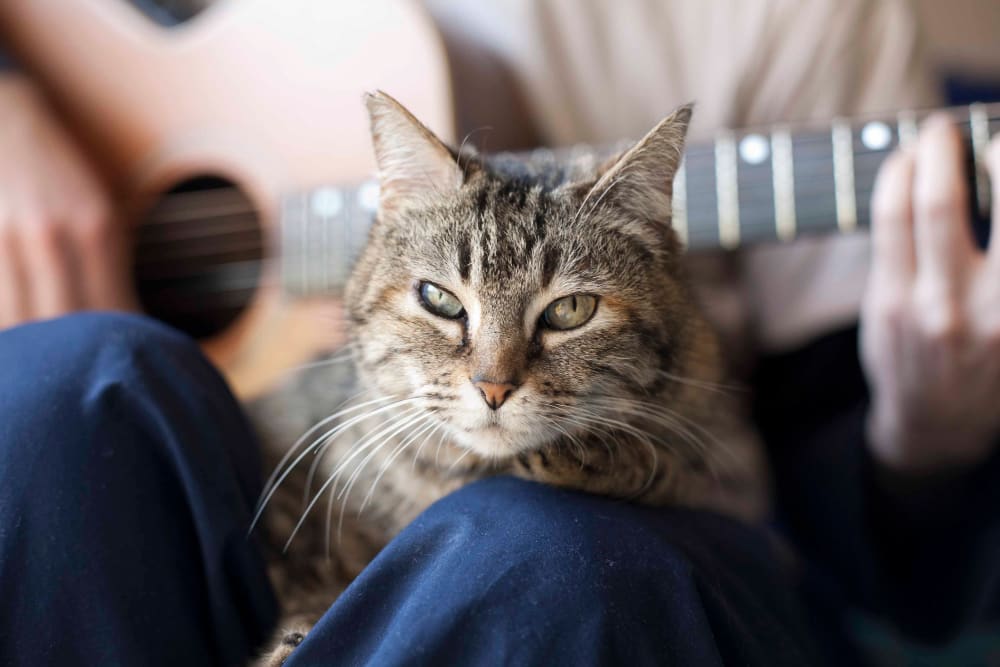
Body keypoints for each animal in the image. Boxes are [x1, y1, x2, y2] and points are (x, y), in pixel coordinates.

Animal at [250, 90, 764, 667]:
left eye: (570, 310)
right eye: (440, 298)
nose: (492, 388)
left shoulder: (736, 472)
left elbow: (673, 471)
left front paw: (600, 460)